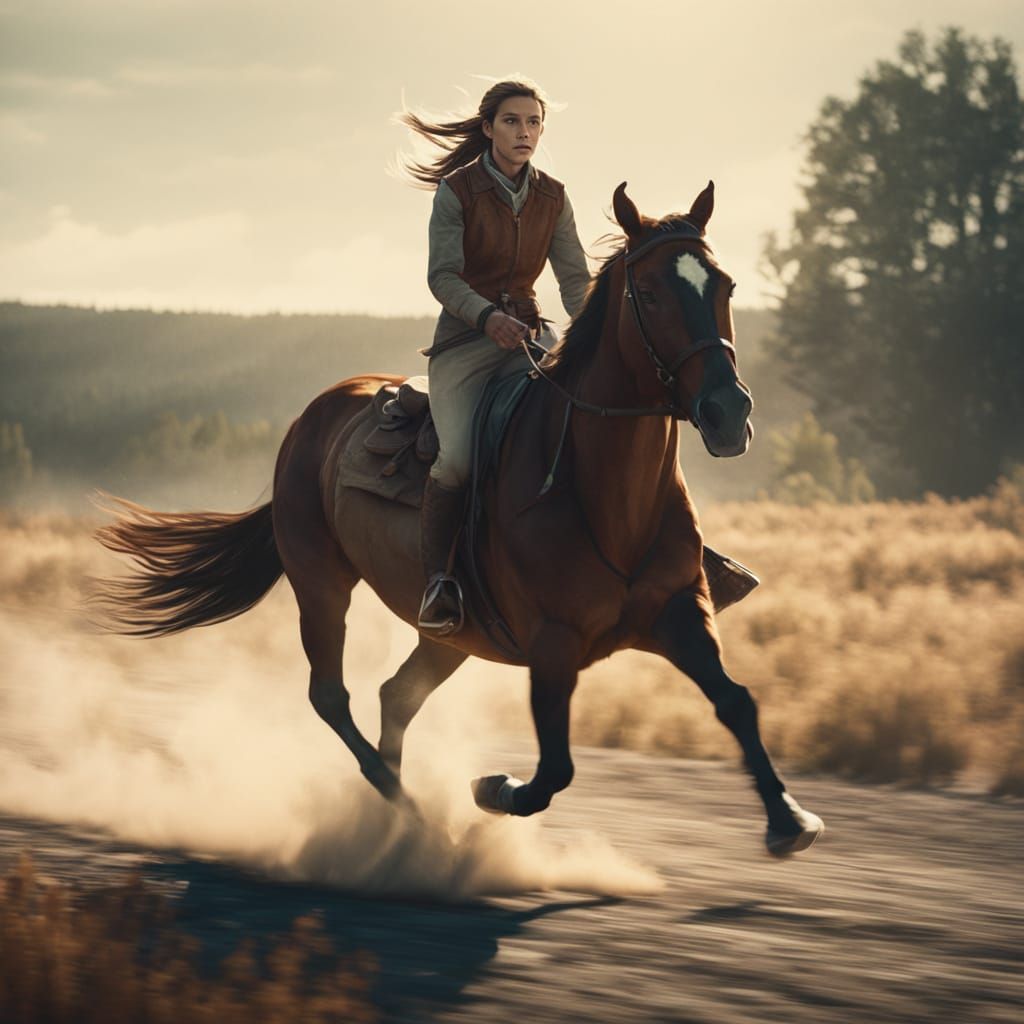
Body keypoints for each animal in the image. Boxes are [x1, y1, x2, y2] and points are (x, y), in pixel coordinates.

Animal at [95, 181, 824, 857]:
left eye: (725, 284)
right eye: (647, 292)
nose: (728, 411)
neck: (605, 494)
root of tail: (311, 419)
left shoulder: (681, 612)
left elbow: (736, 700)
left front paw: (790, 821)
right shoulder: (553, 643)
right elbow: (553, 770)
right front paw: (492, 788)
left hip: (450, 635)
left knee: (395, 696)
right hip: (321, 584)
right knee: (332, 696)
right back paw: (417, 821)